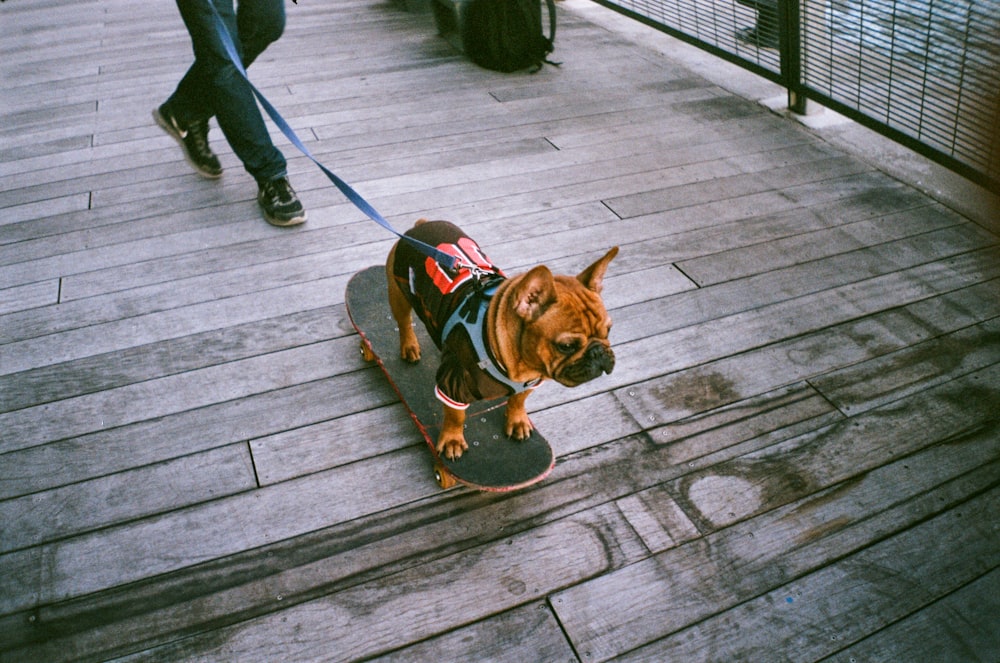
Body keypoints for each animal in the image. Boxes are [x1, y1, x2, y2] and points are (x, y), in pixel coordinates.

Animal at [388, 220, 616, 460]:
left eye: (608, 331)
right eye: (566, 346)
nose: (599, 352)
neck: (521, 364)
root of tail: (422, 224)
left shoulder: (530, 381)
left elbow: (518, 400)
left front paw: (517, 420)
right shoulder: (452, 384)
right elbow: (455, 417)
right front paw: (452, 439)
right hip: (399, 293)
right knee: (404, 322)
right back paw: (410, 347)